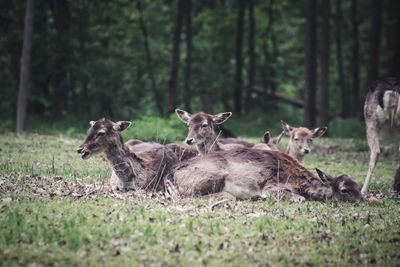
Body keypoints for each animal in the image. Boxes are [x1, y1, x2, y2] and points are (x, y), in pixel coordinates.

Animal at [170, 148, 364, 202]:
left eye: (359, 186)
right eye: (344, 190)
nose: (363, 200)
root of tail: (171, 175)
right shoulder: (272, 186)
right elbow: (299, 199)